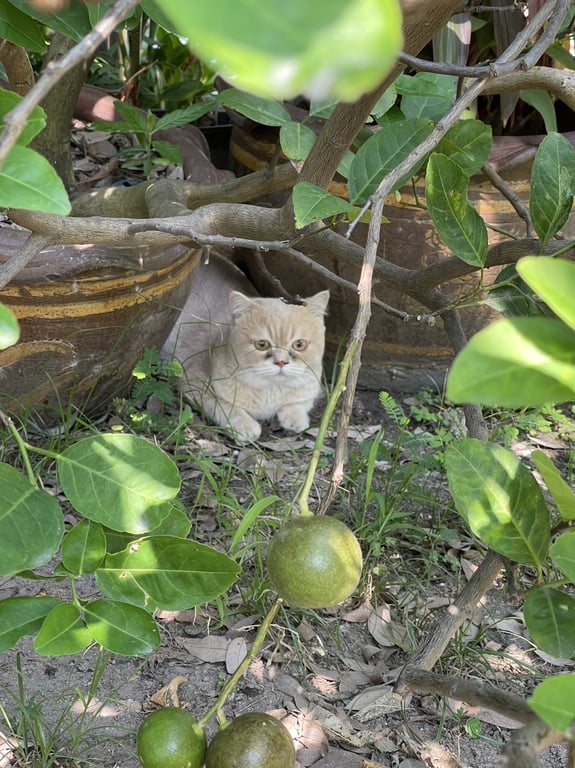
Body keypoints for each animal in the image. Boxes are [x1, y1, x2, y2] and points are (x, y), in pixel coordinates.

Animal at [162, 253, 329, 442]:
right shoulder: (194, 383)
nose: (281, 362)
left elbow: (300, 402)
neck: (271, 391)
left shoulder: (311, 385)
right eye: (262, 344)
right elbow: (225, 406)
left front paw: (295, 418)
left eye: (299, 344)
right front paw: (245, 425)